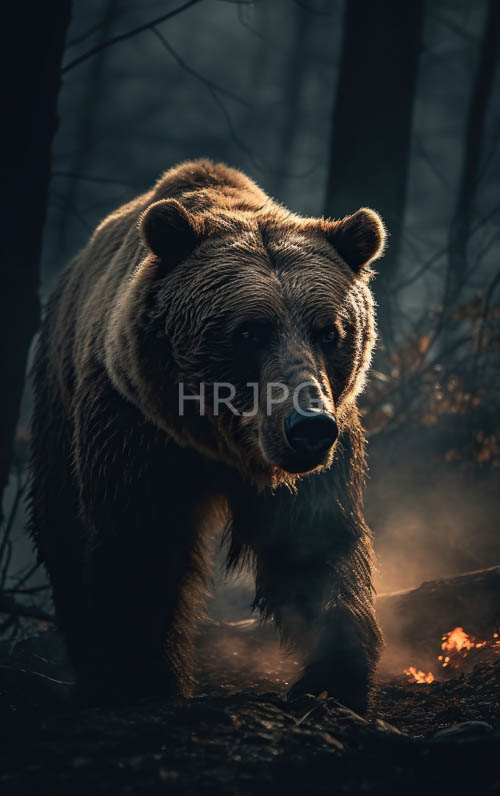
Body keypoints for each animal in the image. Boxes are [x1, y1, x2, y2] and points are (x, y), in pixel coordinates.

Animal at [30, 159, 385, 713]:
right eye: (248, 331)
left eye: (329, 331)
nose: (307, 427)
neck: (223, 444)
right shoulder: (136, 428)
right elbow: (139, 541)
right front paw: (139, 677)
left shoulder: (324, 447)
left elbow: (317, 543)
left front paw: (331, 678)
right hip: (58, 402)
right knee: (61, 524)